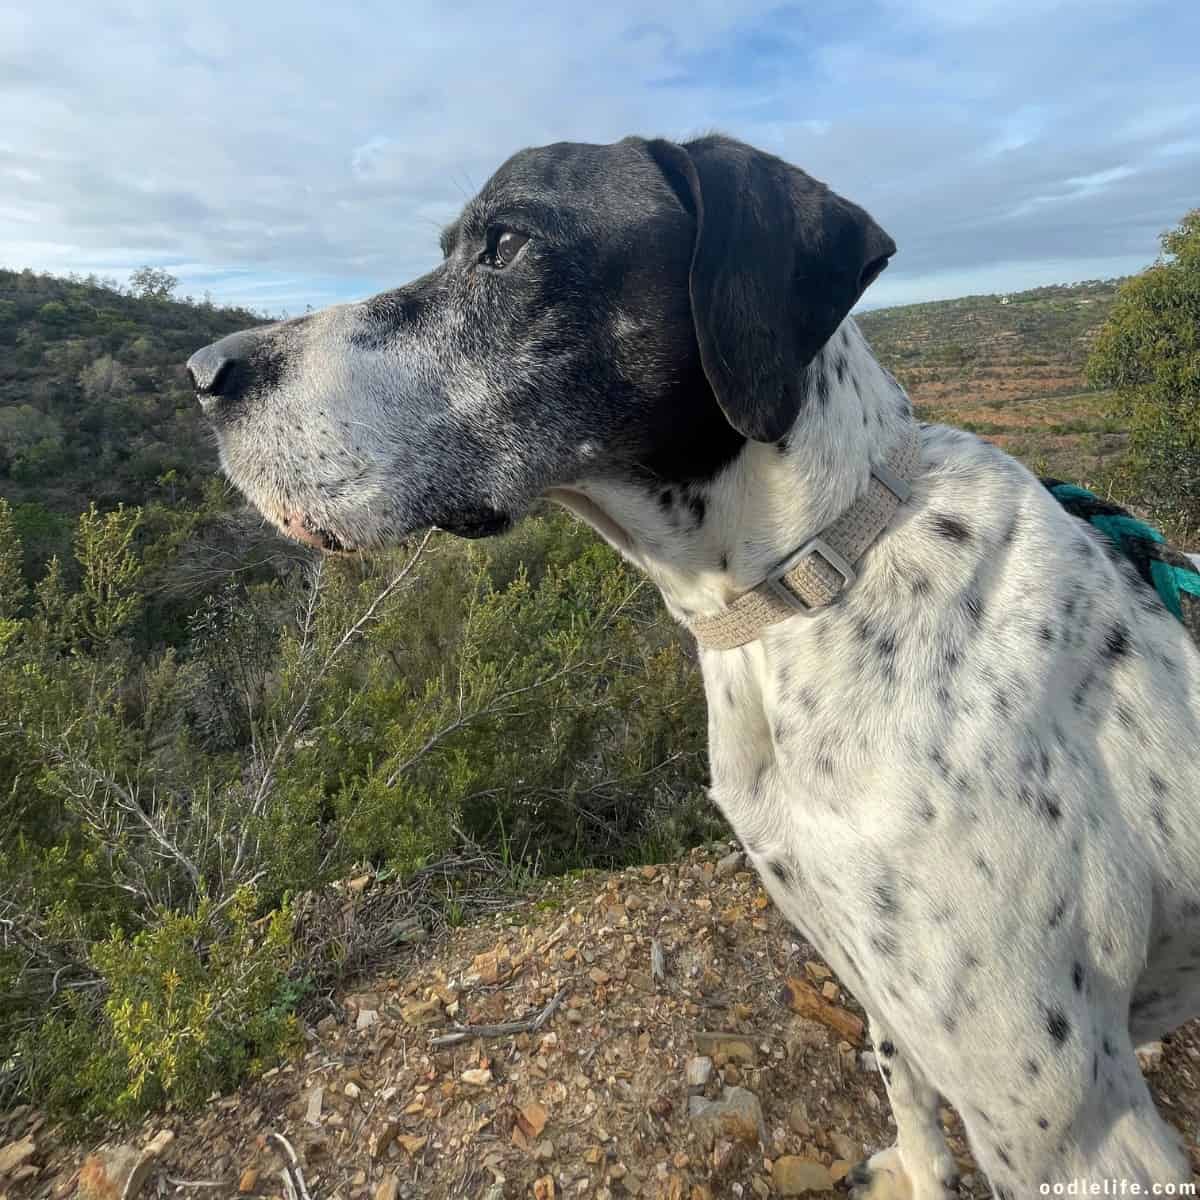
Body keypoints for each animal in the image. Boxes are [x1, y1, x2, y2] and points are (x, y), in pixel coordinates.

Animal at [187, 136, 1200, 1195]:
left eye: (505, 245)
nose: (201, 371)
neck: (807, 583)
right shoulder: (862, 963)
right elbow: (900, 1075)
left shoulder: (1074, 1127)